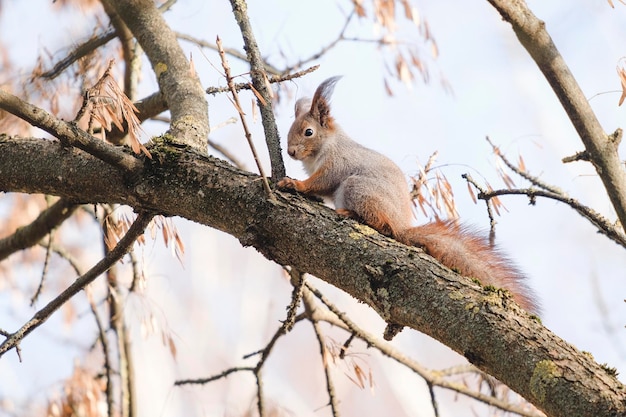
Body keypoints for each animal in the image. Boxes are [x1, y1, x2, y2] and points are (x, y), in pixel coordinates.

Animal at [276, 76, 540, 314]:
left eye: (308, 132)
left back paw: (352, 214)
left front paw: (296, 185)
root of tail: (403, 225)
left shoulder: (337, 163)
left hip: (357, 188)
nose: (290, 152)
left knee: (383, 225)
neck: (325, 146)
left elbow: (319, 182)